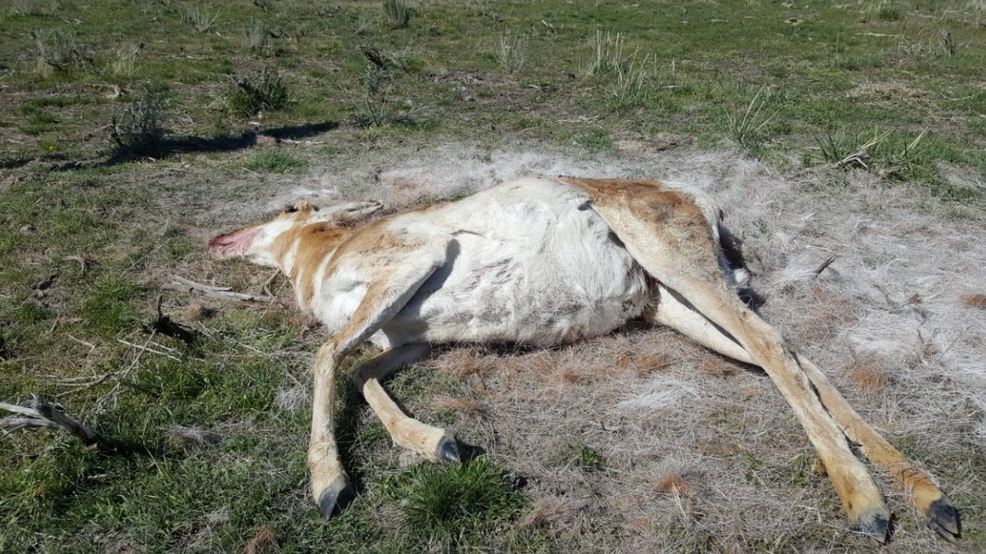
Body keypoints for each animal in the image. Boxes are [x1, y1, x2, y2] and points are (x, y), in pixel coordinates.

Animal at [209, 176, 959, 542]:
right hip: (671, 306)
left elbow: (325, 354)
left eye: (291, 203)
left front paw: (328, 483)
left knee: (777, 347)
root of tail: (695, 196)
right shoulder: (408, 339)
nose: (219, 236)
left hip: (677, 266)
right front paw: (440, 443)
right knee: (793, 357)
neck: (323, 256)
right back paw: (931, 497)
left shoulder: (411, 263)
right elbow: (362, 373)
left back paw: (868, 504)